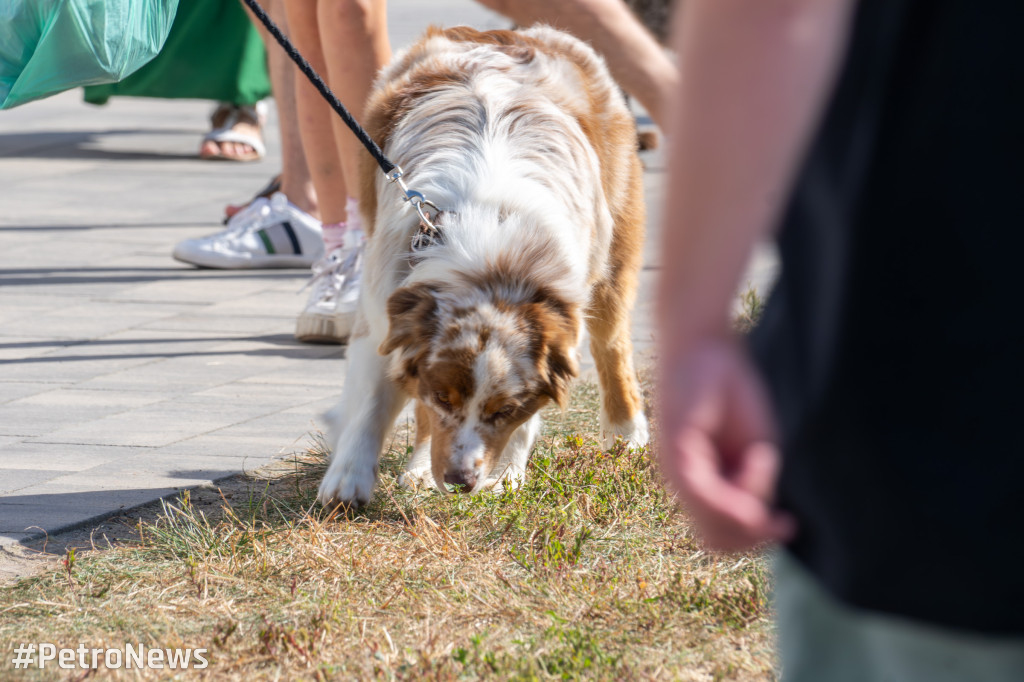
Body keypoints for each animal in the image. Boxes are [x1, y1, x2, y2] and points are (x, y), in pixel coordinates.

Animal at [317, 25, 647, 503]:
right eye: (443, 398)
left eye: (503, 409)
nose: (460, 481)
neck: (495, 261)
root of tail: (506, 34)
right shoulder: (385, 304)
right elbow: (372, 403)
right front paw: (348, 481)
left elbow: (527, 420)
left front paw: (506, 476)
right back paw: (419, 468)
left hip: (613, 254)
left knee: (613, 345)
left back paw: (627, 435)